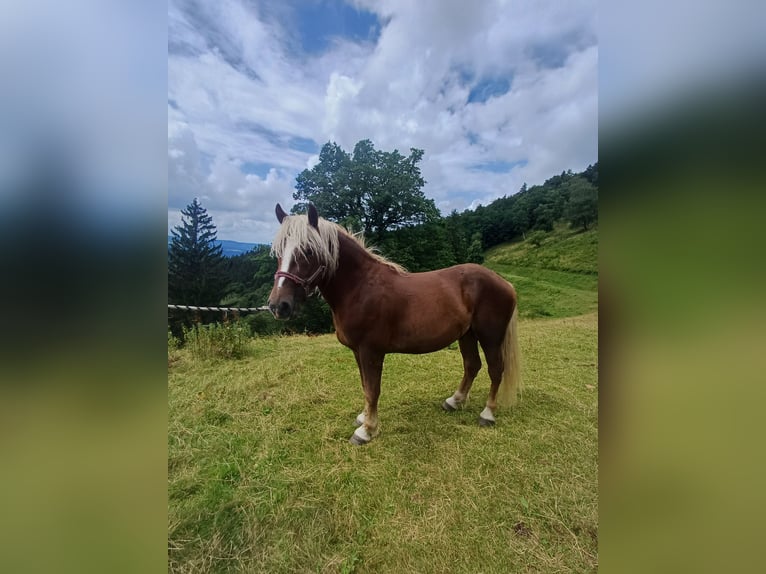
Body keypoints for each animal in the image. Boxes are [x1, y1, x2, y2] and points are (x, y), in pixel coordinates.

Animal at [268, 203, 521, 445]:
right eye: (279, 252)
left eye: (308, 250)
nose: (279, 305)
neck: (360, 288)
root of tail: (504, 283)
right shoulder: (358, 352)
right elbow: (365, 386)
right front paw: (364, 418)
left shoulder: (371, 351)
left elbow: (373, 390)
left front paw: (366, 431)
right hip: (467, 335)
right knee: (472, 365)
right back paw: (454, 401)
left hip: (490, 336)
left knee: (495, 369)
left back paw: (487, 414)